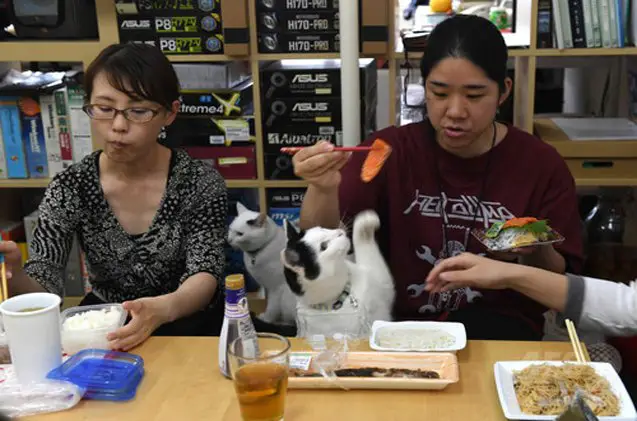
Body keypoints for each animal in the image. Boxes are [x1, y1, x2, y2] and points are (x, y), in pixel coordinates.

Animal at [282, 210, 396, 338]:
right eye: (324, 246)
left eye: (322, 229)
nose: (340, 232)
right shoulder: (382, 279)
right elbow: (366, 246)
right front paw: (367, 224)